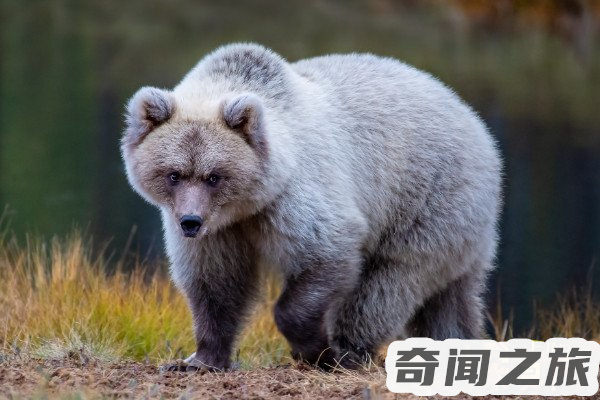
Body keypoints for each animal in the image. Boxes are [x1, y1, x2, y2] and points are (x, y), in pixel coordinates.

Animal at [120, 42, 502, 370]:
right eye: (174, 174)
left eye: (214, 176)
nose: (190, 221)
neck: (248, 206)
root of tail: (476, 123)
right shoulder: (220, 231)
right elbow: (215, 283)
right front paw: (199, 359)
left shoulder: (297, 195)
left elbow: (324, 250)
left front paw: (315, 348)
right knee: (451, 300)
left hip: (426, 199)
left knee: (388, 284)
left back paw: (348, 351)